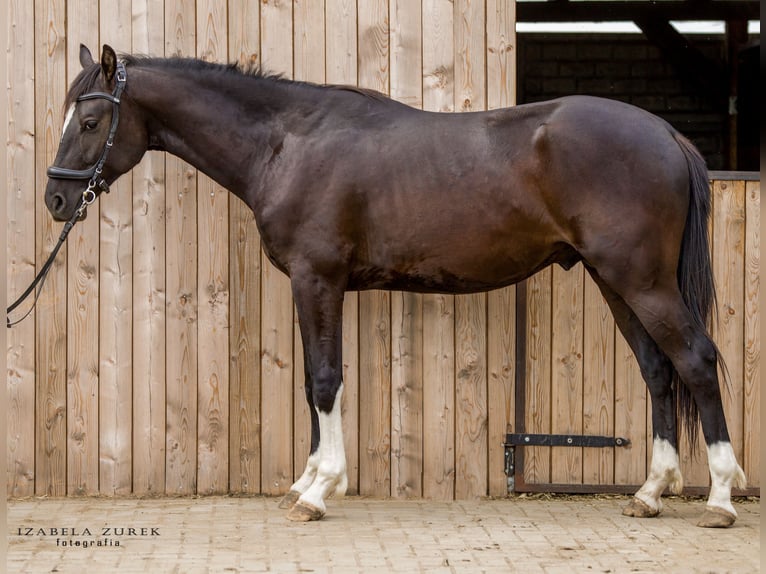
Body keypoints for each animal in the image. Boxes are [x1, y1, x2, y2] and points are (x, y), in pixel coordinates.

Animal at [45, 45, 748, 528]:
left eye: (90, 121)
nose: (55, 199)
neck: (287, 143)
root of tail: (665, 134)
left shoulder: (318, 278)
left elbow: (324, 381)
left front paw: (319, 491)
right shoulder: (315, 285)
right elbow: (313, 384)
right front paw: (306, 481)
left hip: (642, 280)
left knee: (696, 360)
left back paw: (719, 497)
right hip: (614, 280)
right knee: (657, 370)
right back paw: (650, 493)